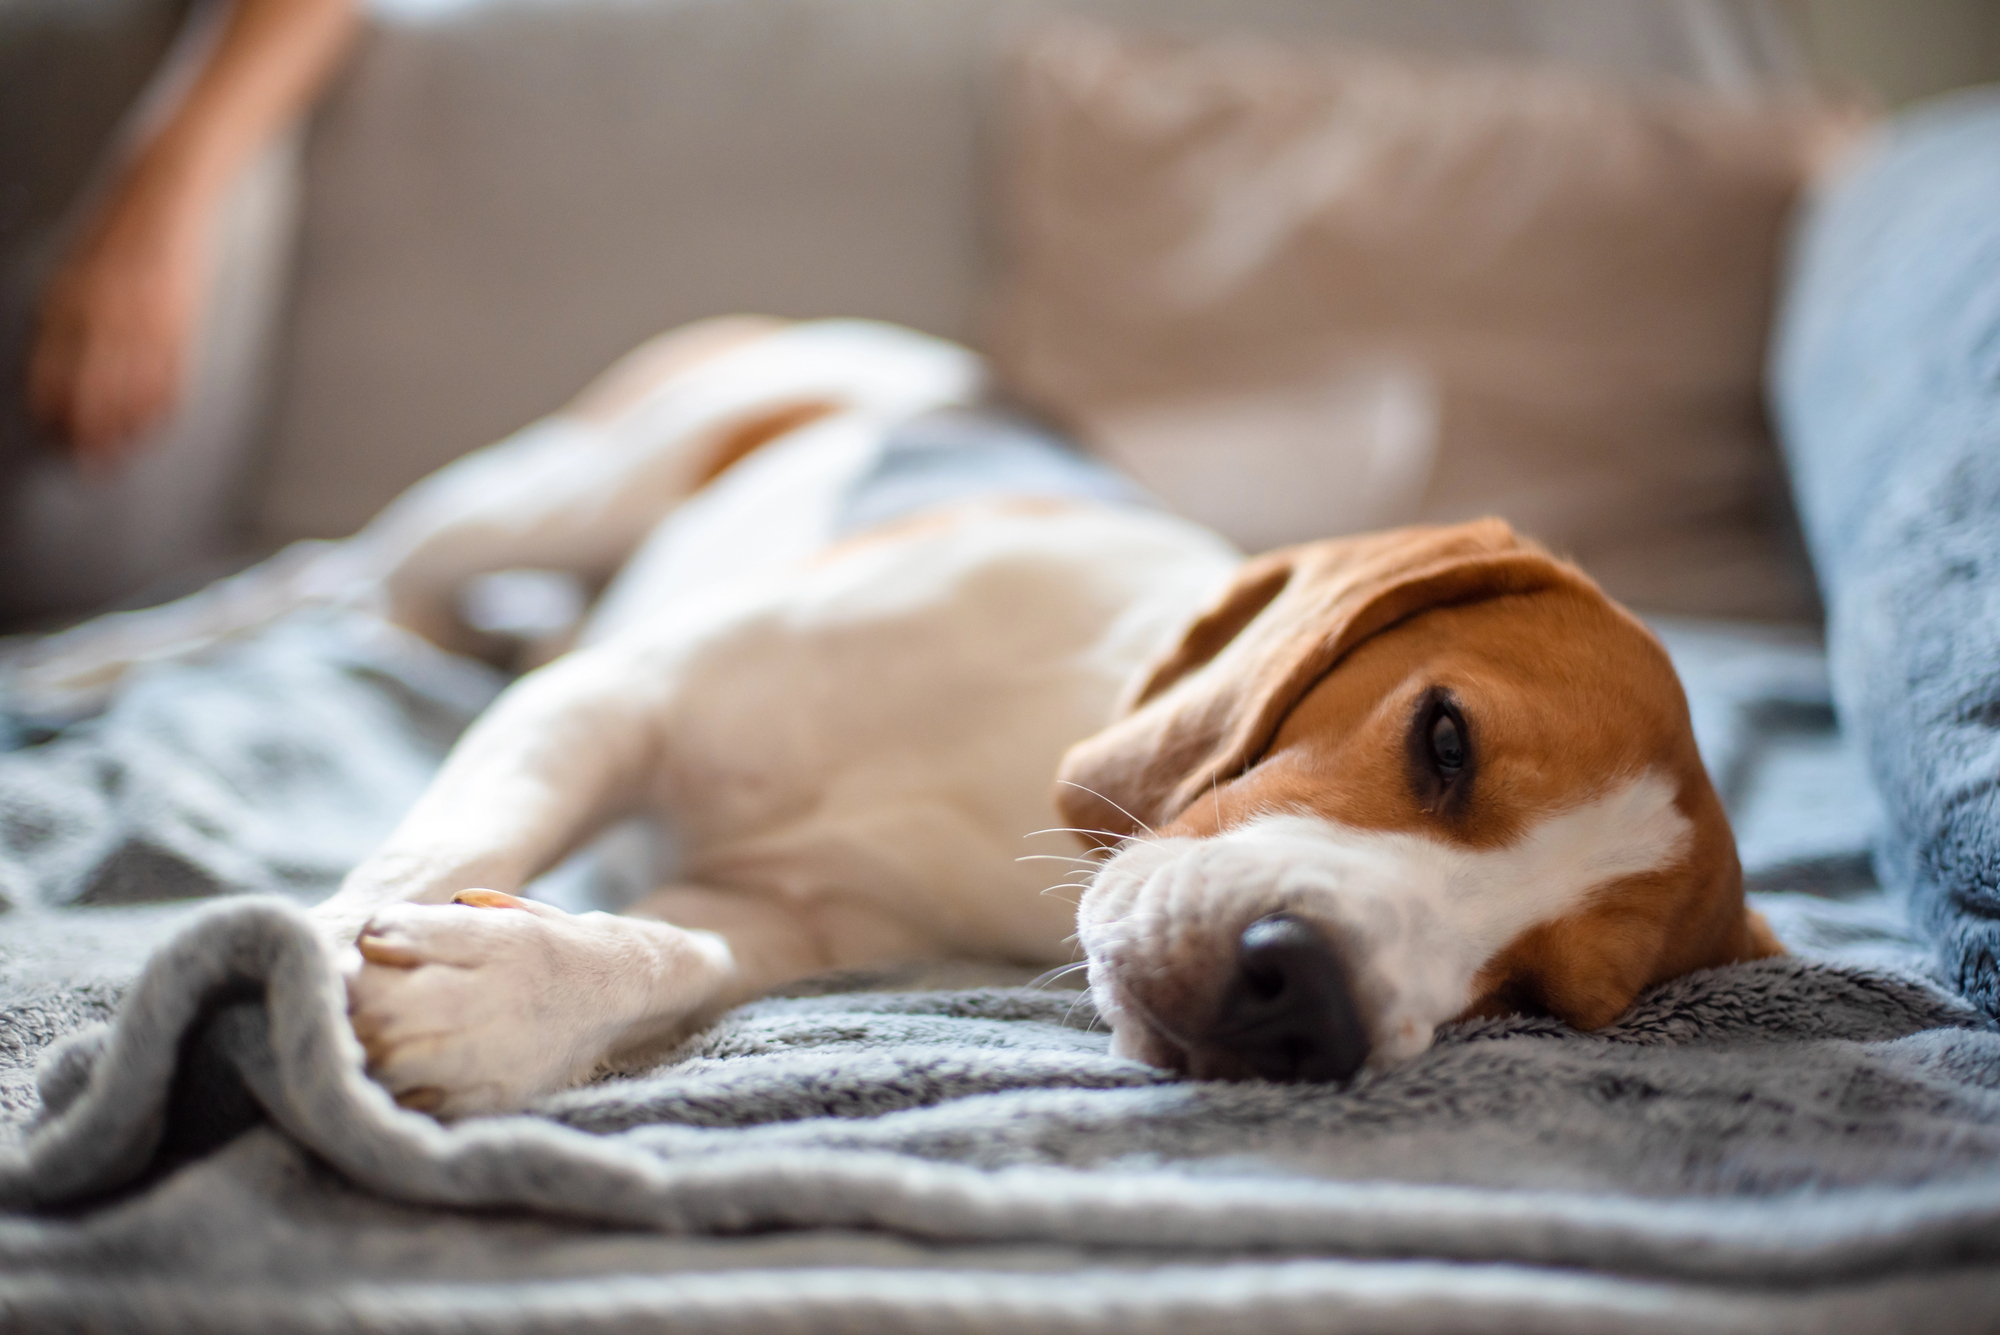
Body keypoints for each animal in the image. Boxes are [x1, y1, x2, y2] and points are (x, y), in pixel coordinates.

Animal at [3, 315, 1784, 1119]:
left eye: (1541, 997)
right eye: (1444, 739)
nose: (1316, 1009)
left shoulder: (796, 913)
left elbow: (677, 948)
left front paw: (508, 991)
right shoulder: (611, 700)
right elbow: (433, 845)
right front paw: (303, 964)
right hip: (545, 492)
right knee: (316, 583)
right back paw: (80, 666)